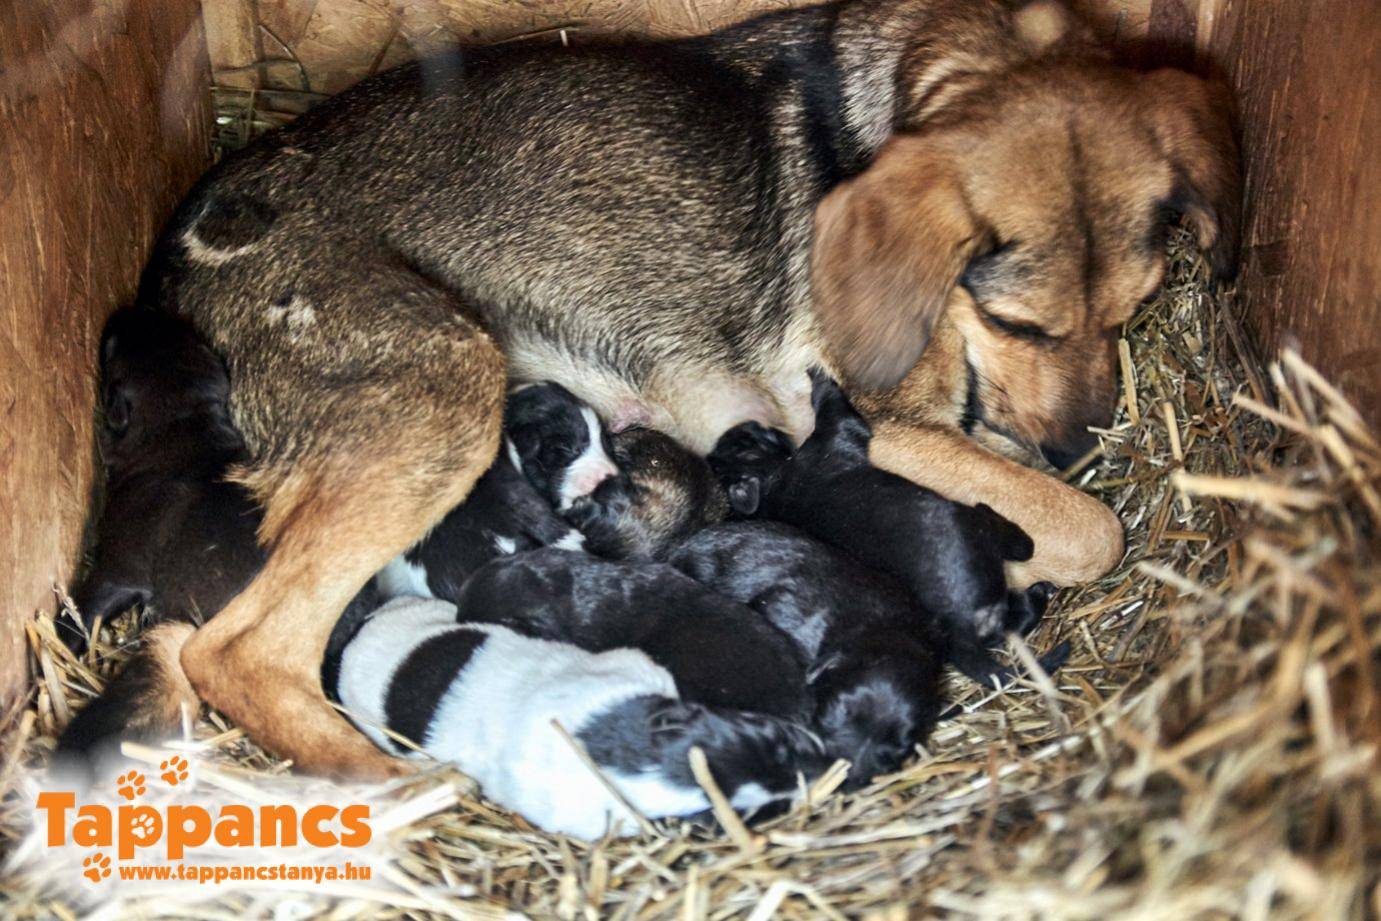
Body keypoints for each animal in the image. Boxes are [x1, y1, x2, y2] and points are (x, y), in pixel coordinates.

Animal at [707, 372, 1070, 685]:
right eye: (744, 439)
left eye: (732, 442)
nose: (747, 422)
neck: (772, 481)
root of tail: (959, 628)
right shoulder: (837, 434)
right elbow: (833, 408)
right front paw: (818, 376)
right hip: (976, 526)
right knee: (1012, 546)